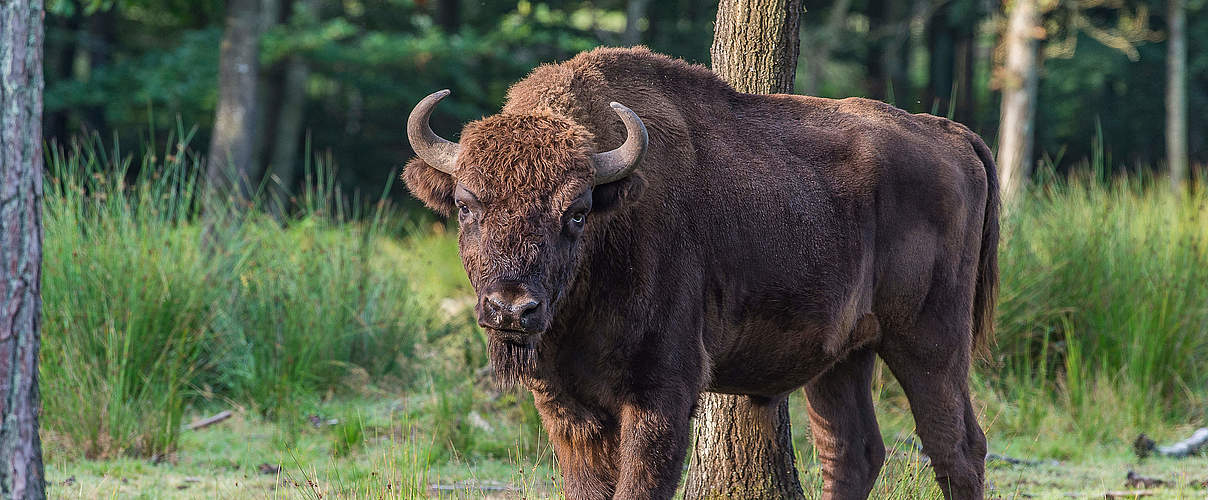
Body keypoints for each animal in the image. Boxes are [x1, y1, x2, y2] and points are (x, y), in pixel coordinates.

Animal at [401, 44, 995, 497]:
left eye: (576, 212)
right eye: (466, 205)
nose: (511, 308)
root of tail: (950, 135)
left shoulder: (661, 393)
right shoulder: (563, 403)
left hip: (929, 341)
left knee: (957, 447)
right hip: (844, 354)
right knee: (852, 451)